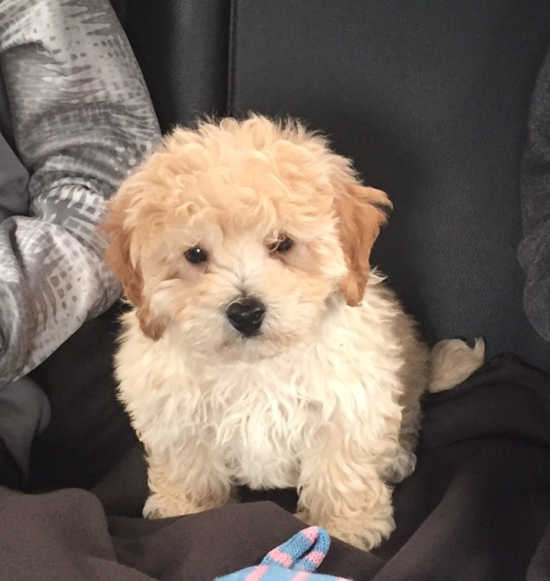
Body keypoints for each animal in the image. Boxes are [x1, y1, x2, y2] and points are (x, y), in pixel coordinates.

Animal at [102, 115, 484, 552]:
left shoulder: (349, 402)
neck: (254, 365)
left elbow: (340, 470)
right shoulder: (173, 415)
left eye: (282, 243)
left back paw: (397, 459)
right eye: (195, 254)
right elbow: (191, 468)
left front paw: (345, 527)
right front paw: (187, 510)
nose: (246, 312)